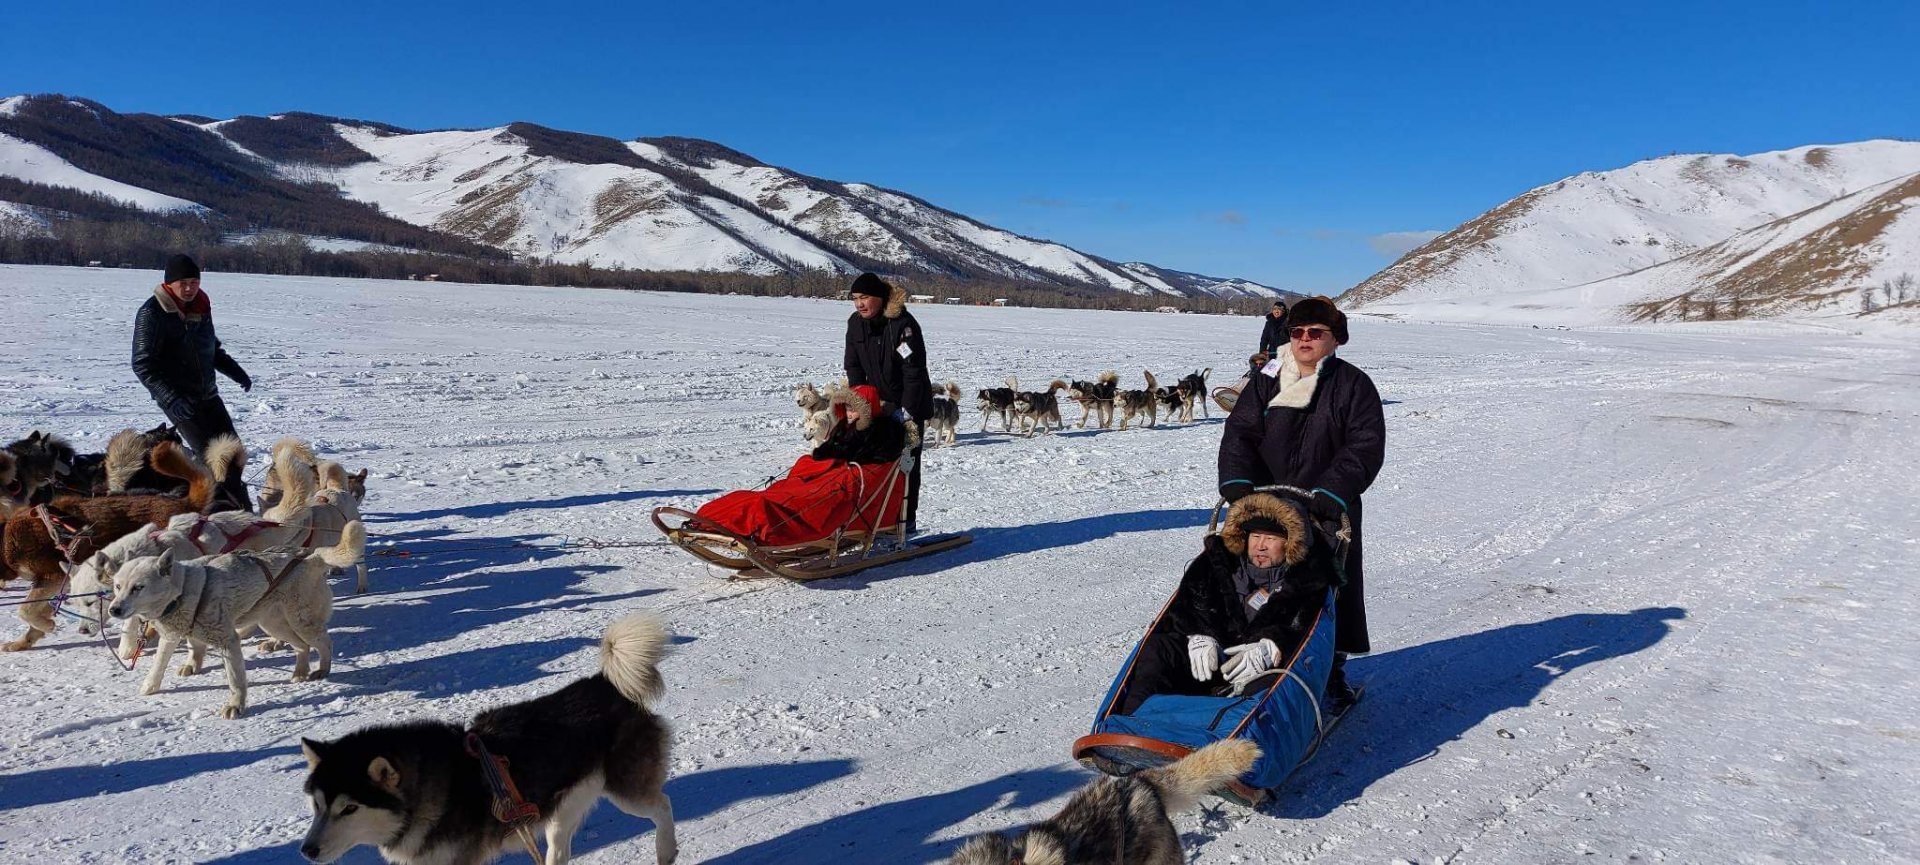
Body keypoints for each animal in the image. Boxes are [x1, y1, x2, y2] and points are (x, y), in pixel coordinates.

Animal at [108, 529, 360, 717]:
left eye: (138, 587)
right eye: (118, 586)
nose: (114, 609)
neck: (184, 591)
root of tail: (310, 557)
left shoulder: (228, 641)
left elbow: (235, 680)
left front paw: (235, 706)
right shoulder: (175, 636)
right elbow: (164, 662)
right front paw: (151, 685)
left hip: (302, 623)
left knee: (324, 643)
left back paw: (323, 669)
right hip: (274, 625)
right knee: (302, 647)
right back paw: (300, 672)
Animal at [299, 613, 683, 865]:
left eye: (349, 808)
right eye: (317, 805)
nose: (307, 851)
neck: (430, 788)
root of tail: (605, 684)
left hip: (625, 790)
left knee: (663, 805)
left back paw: (666, 851)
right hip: (561, 812)